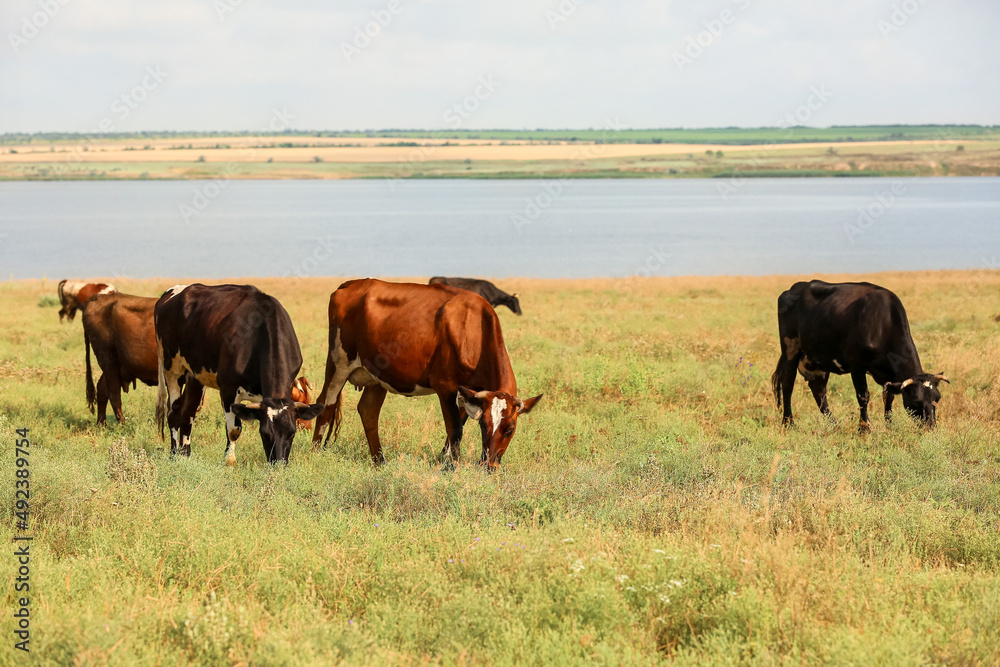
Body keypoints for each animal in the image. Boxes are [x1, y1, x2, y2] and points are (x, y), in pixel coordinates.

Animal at [82, 294, 158, 428]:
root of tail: (98, 297)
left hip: (112, 366)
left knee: (102, 389)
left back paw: (102, 424)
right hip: (108, 361)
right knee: (114, 394)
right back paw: (123, 425)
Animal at [154, 284, 324, 468]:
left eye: (292, 433)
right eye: (264, 434)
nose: (278, 464)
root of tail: (170, 293)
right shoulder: (228, 389)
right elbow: (234, 430)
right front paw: (229, 460)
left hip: (195, 376)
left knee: (188, 413)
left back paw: (185, 455)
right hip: (171, 369)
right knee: (173, 413)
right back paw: (173, 454)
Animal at [314, 280, 544, 472]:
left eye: (510, 429)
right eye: (484, 425)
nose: (489, 466)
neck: (472, 328)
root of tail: (351, 284)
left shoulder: (468, 393)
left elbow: (457, 427)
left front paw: (444, 459)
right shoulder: (446, 387)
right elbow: (455, 430)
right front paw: (452, 467)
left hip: (378, 376)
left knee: (368, 411)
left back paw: (380, 462)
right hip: (338, 363)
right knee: (326, 403)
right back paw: (315, 453)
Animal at [768, 280, 948, 430]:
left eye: (937, 398)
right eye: (916, 401)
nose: (931, 427)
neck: (882, 323)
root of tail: (793, 288)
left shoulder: (890, 376)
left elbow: (889, 397)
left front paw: (889, 425)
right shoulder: (856, 365)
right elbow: (863, 396)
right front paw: (864, 428)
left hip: (817, 360)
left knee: (819, 391)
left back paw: (834, 425)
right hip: (790, 349)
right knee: (788, 384)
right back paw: (788, 423)